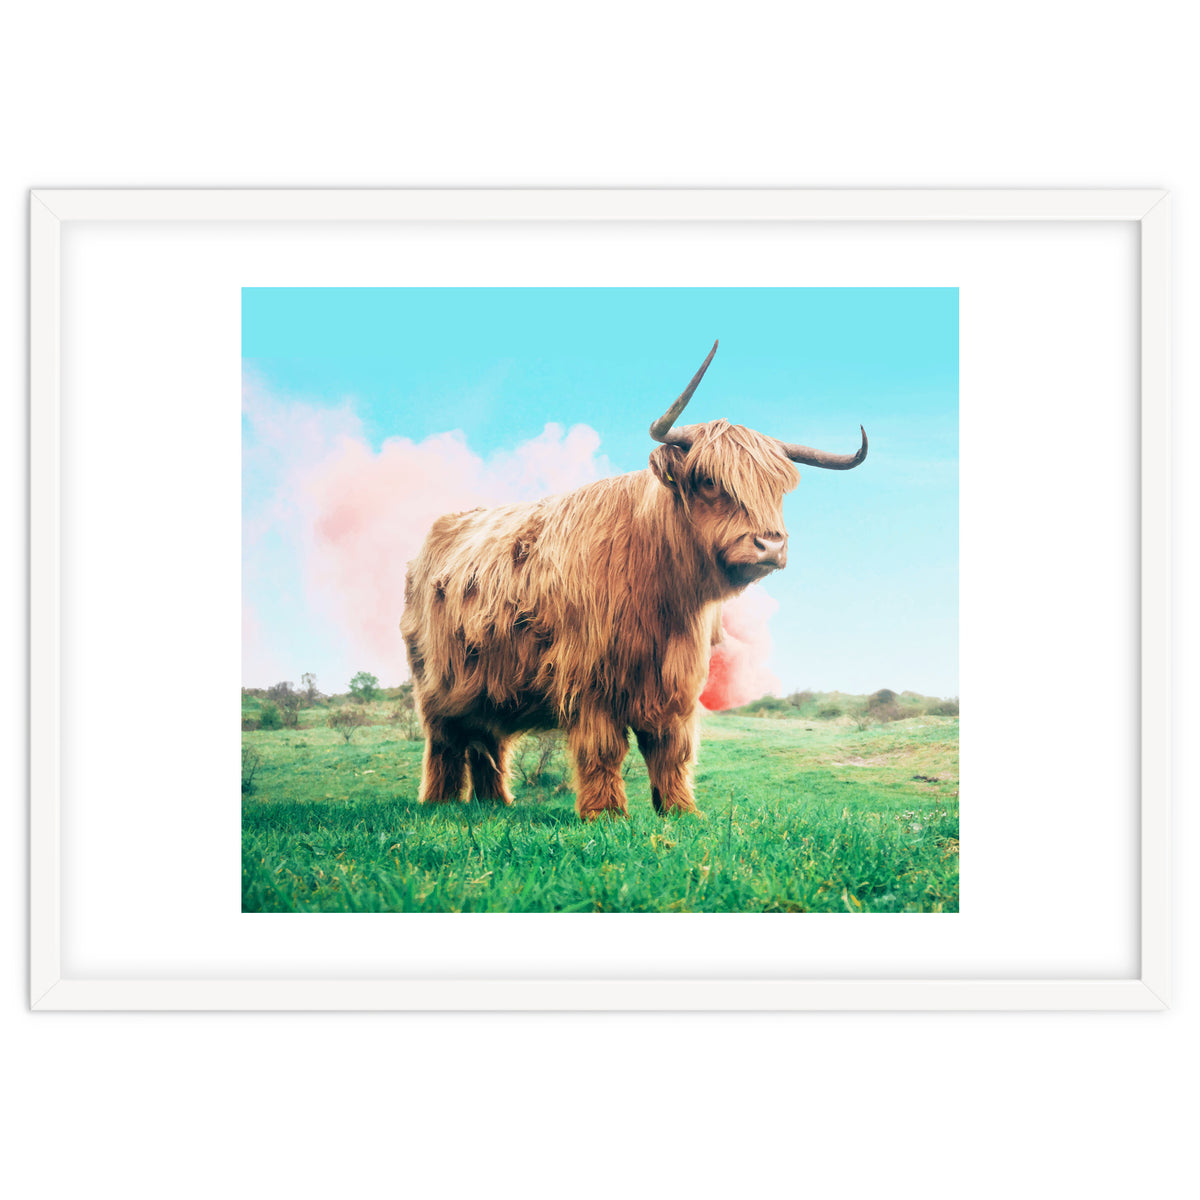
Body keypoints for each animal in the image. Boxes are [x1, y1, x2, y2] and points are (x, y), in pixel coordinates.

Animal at [400, 341, 867, 819]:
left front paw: (680, 810)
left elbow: (671, 749)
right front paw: (605, 814)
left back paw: (495, 803)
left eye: (777, 490)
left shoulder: (676, 681)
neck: (662, 594)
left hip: (487, 685)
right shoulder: (590, 677)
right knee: (445, 741)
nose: (770, 545)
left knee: (487, 740)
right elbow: (603, 749)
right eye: (709, 481)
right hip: (436, 684)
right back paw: (439, 802)